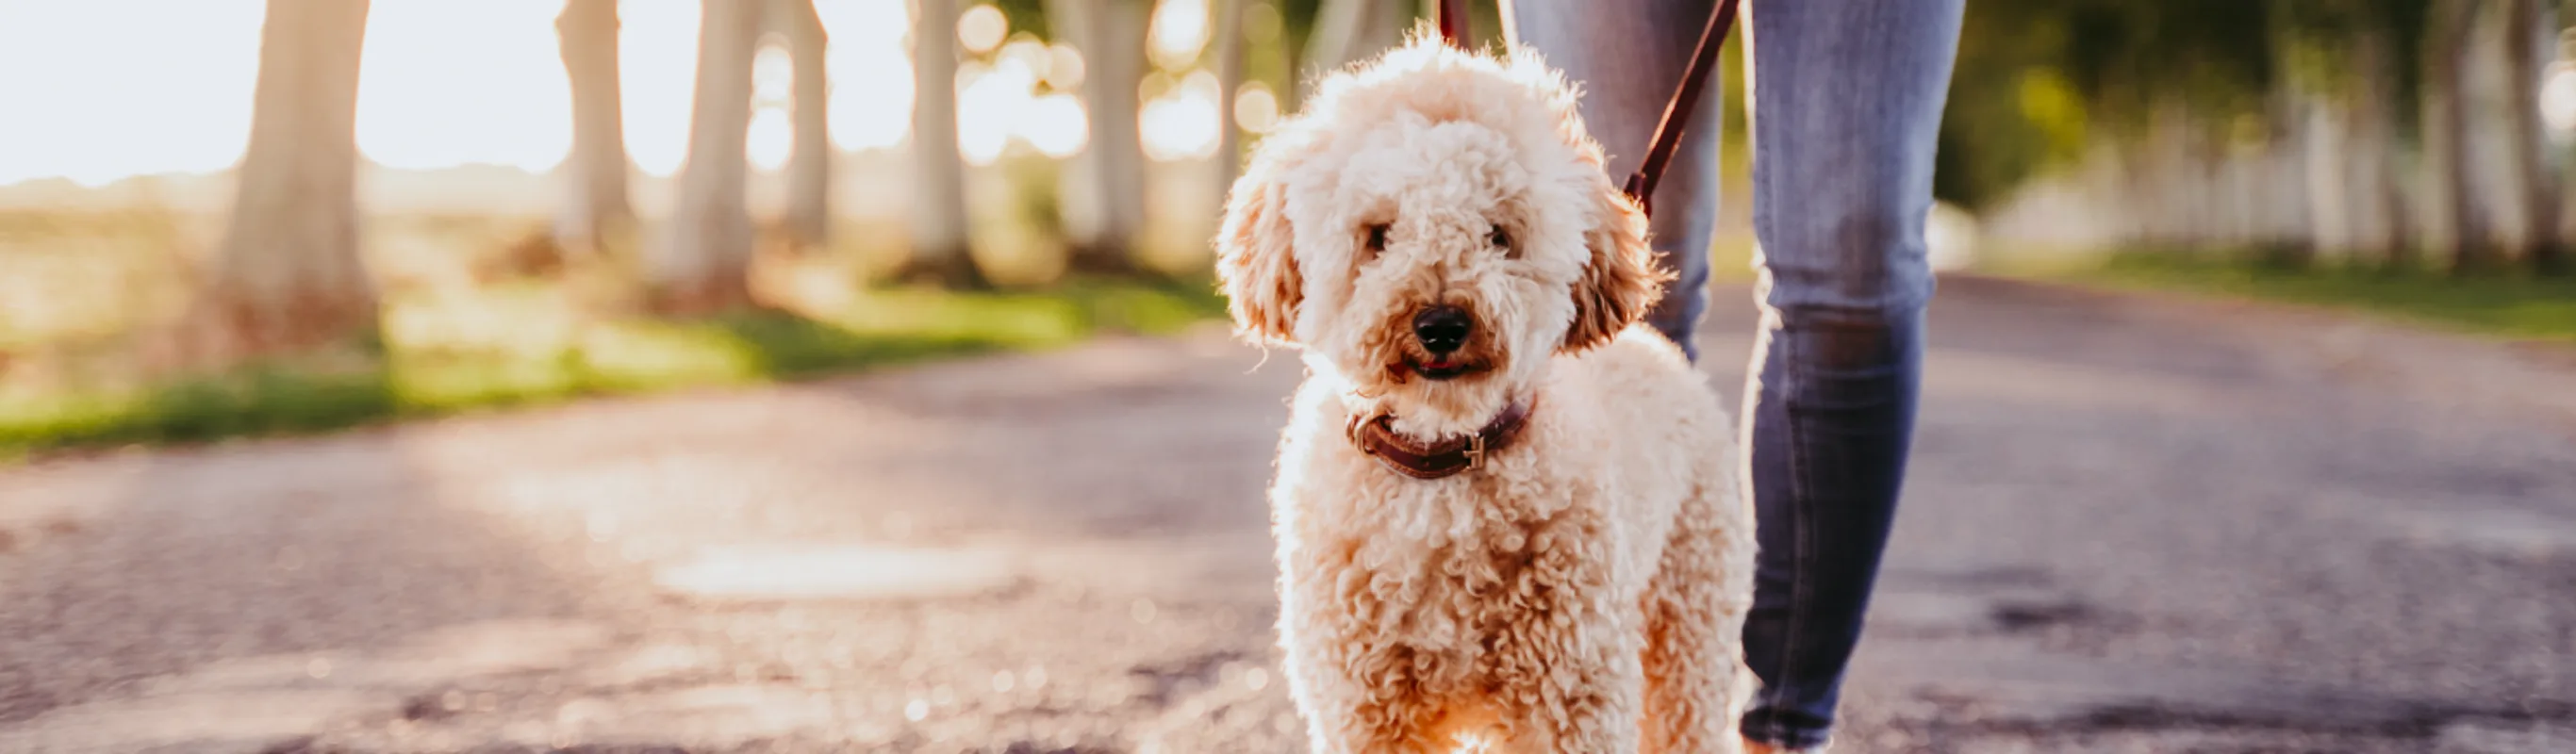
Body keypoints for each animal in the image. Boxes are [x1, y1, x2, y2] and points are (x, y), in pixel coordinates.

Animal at [1215, 32, 1761, 751]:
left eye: (1498, 235)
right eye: (1378, 236)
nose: (1441, 324)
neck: (1440, 464)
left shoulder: (1573, 697)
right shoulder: (1362, 707)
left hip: (1690, 619)